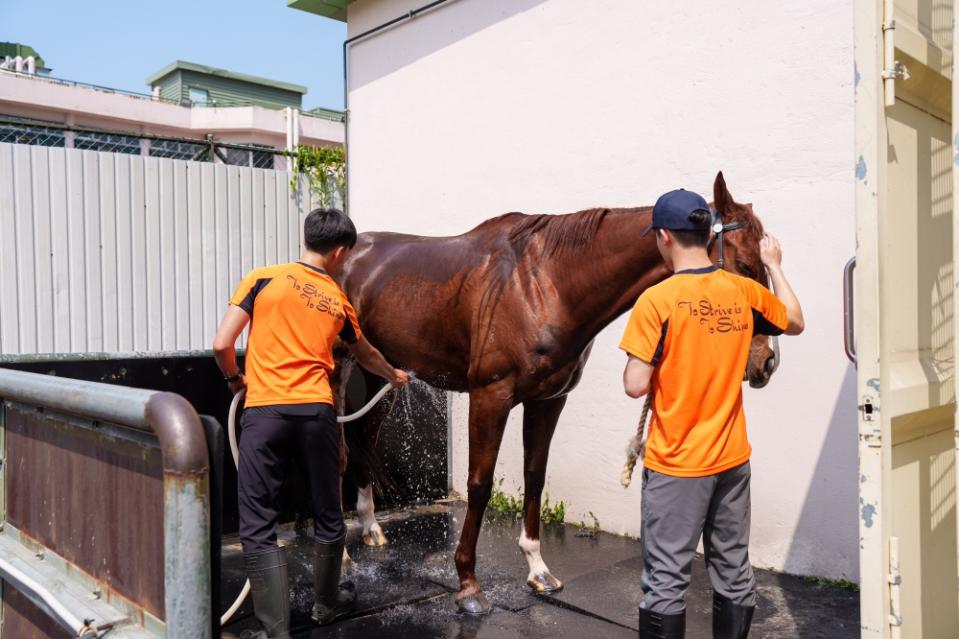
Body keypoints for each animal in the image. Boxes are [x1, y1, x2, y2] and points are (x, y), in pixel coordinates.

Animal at [330, 172, 780, 612]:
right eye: (743, 265)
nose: (766, 362)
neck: (544, 283)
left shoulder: (547, 400)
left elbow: (535, 474)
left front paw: (538, 569)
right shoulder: (489, 396)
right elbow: (479, 482)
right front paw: (469, 584)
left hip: (383, 378)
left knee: (364, 437)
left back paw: (370, 527)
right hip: (336, 374)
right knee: (340, 451)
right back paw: (344, 559)